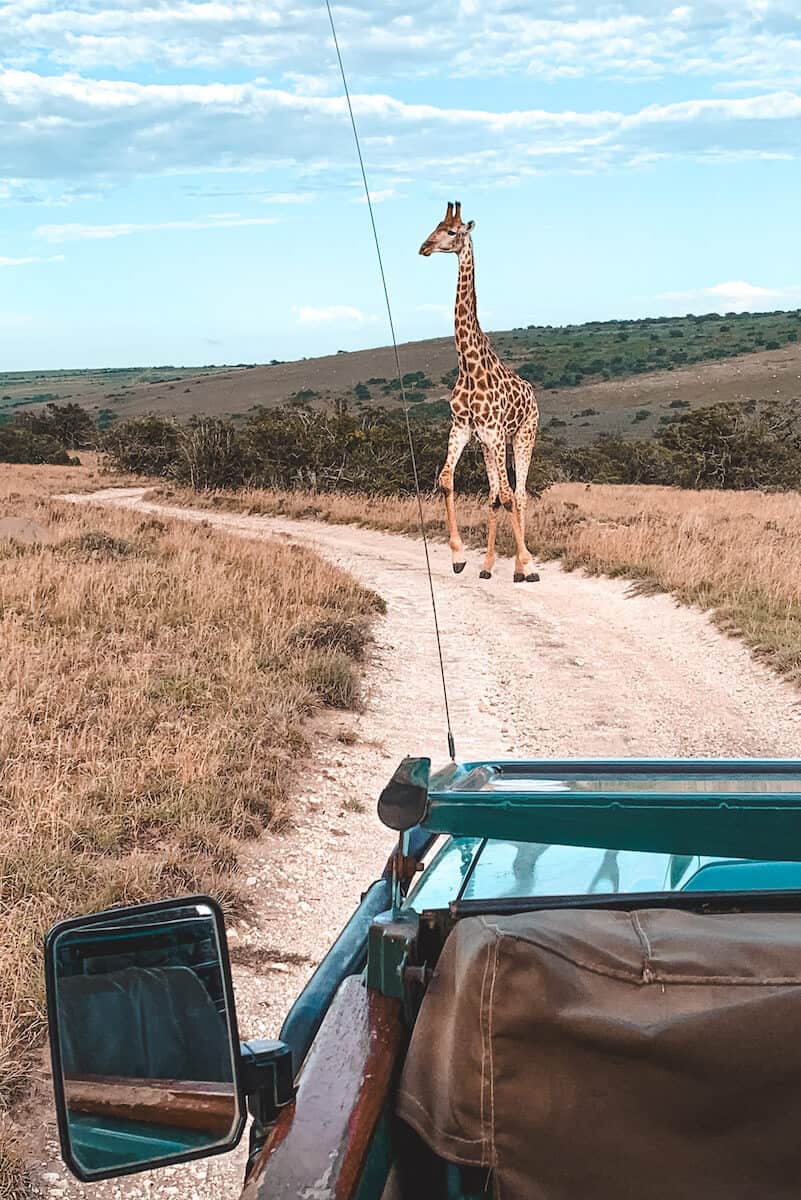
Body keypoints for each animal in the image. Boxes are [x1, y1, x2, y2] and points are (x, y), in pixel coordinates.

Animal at [419, 200, 540, 583]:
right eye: (434, 226)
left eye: (452, 231)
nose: (424, 247)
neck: (469, 367)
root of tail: (532, 393)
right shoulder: (463, 429)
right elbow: (446, 480)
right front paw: (458, 557)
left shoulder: (496, 432)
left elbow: (511, 495)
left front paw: (528, 564)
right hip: (490, 446)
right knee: (495, 494)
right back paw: (489, 567)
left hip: (523, 436)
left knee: (519, 493)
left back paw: (521, 566)